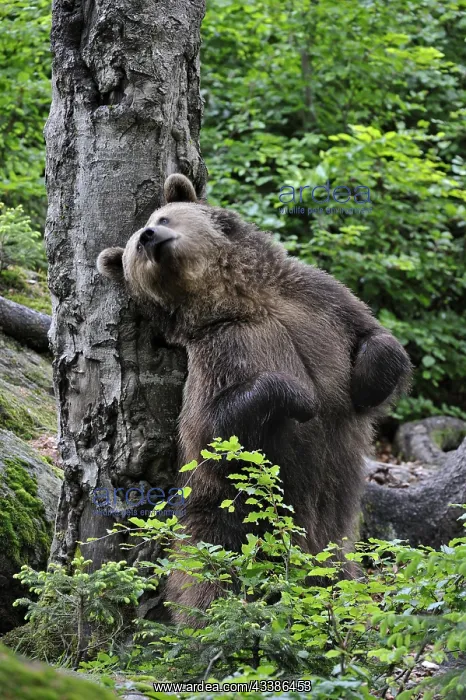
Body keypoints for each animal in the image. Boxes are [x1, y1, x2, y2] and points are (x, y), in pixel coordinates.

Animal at [97, 173, 412, 620]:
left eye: (162, 216)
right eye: (133, 251)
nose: (147, 236)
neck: (242, 299)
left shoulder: (317, 303)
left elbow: (378, 339)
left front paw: (365, 384)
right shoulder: (221, 353)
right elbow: (211, 430)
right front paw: (302, 397)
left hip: (334, 547)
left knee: (344, 581)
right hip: (222, 521)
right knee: (207, 581)